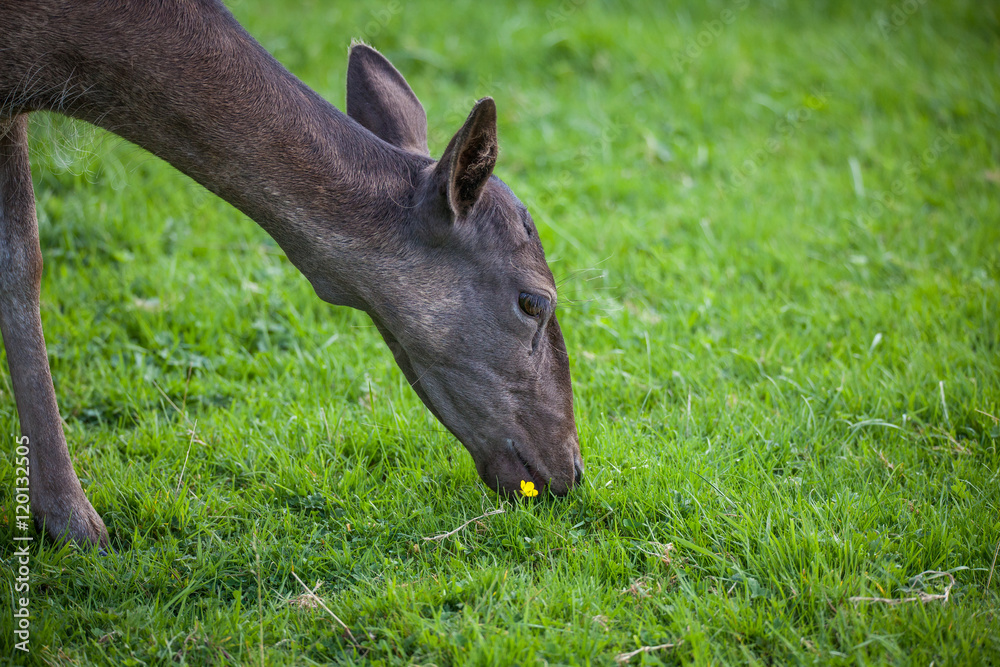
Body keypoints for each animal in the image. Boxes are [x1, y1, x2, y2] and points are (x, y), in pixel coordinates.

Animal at [0, 0, 583, 549]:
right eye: (534, 301)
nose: (573, 470)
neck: (60, 54)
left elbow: (18, 260)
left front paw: (61, 517)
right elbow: (25, 262)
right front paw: (76, 522)